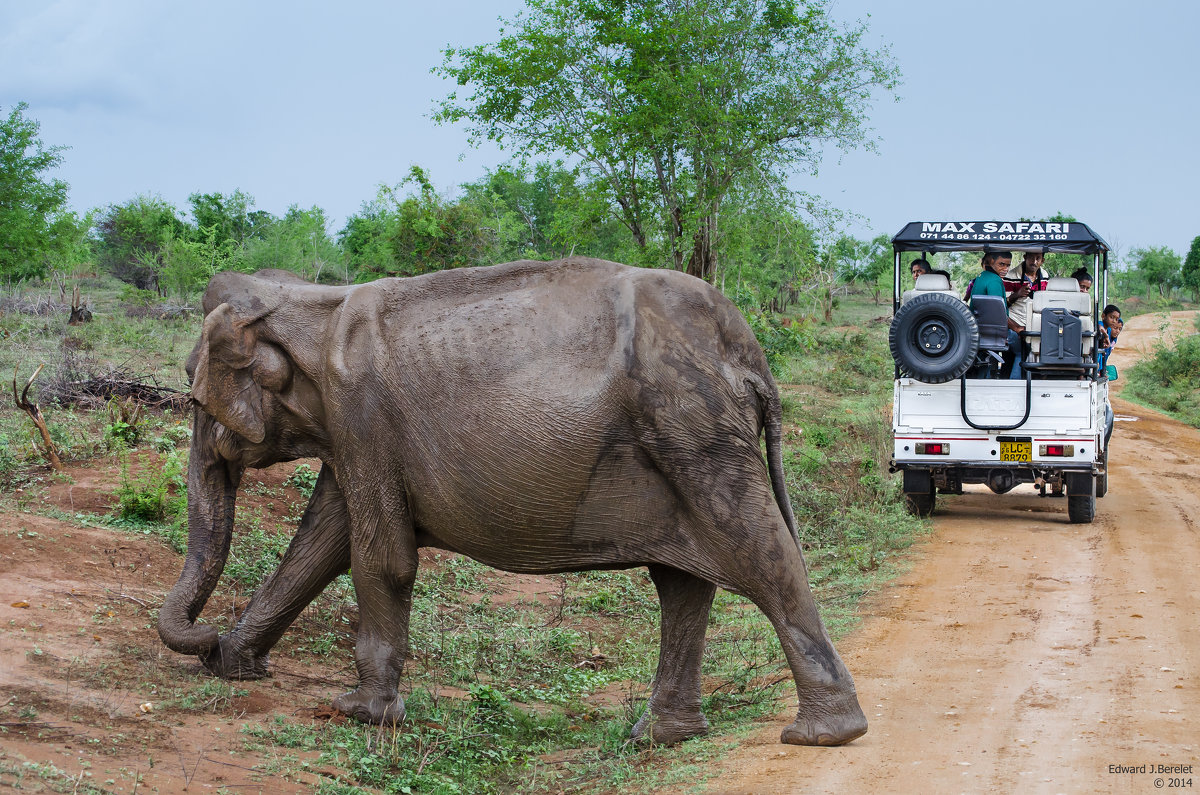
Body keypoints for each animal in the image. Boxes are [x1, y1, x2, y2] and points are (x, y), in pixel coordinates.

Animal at [159, 260, 868, 749]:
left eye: (193, 397)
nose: (207, 639)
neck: (307, 302)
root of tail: (750, 353)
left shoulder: (359, 414)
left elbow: (379, 557)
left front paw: (357, 712)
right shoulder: (351, 434)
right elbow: (322, 542)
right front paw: (235, 666)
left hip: (694, 428)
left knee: (760, 552)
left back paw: (824, 735)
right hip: (688, 440)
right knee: (684, 582)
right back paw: (659, 737)